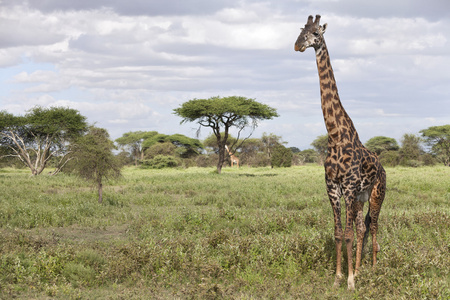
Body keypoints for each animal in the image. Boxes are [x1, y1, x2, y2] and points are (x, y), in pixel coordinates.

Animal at [296, 15, 386, 290]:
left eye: (315, 32)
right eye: (300, 31)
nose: (297, 45)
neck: (335, 136)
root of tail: (383, 168)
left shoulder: (348, 187)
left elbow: (346, 235)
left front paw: (350, 282)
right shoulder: (333, 188)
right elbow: (338, 234)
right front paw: (338, 279)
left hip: (376, 194)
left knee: (373, 226)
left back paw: (373, 268)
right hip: (359, 197)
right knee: (361, 228)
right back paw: (359, 268)